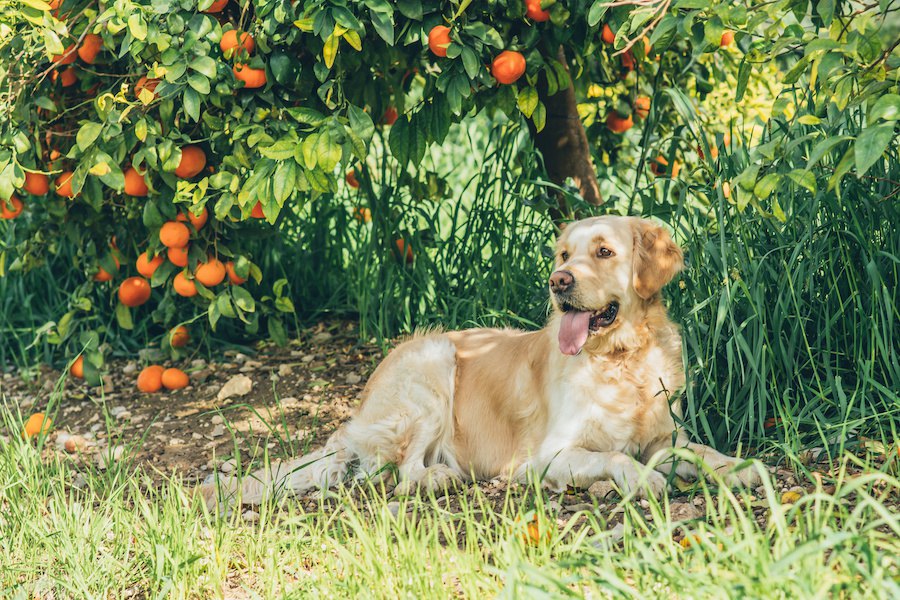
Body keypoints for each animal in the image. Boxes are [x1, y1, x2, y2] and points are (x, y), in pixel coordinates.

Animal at [200, 216, 756, 506]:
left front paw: (741, 468)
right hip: (433, 365)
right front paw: (642, 479)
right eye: (563, 255)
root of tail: (358, 413)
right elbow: (615, 456)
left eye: (603, 252)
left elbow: (701, 450)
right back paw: (440, 477)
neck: (621, 358)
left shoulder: (666, 436)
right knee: (403, 473)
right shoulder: (547, 454)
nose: (558, 283)